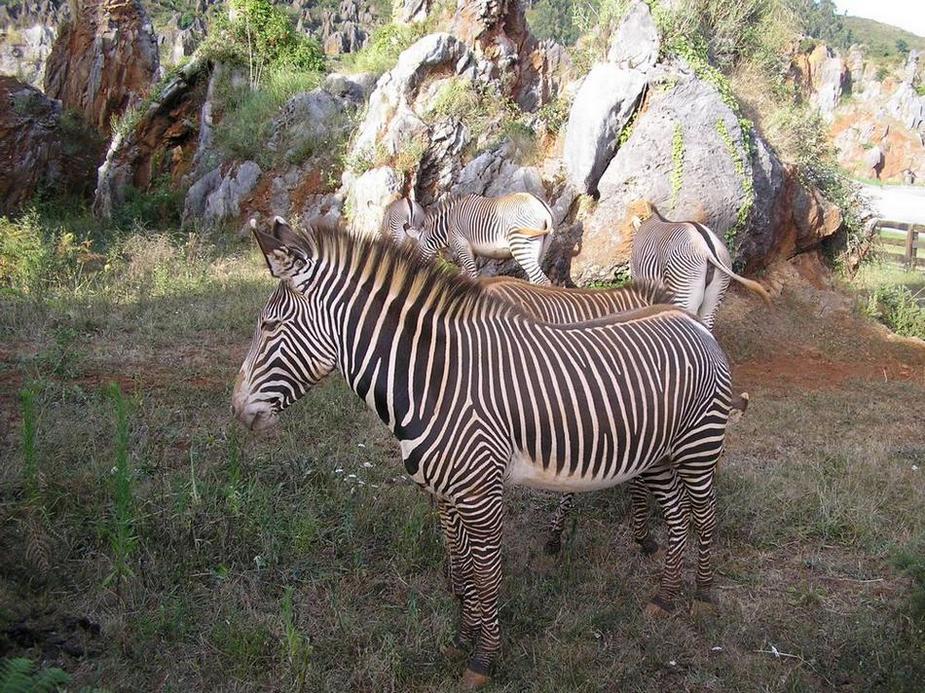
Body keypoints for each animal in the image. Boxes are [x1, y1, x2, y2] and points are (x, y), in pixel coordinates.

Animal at [235, 218, 740, 688]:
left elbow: (485, 575)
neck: (434, 382)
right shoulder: (446, 494)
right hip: (657, 454)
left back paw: (702, 595)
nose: (237, 410)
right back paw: (665, 597)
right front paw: (462, 640)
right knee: (676, 518)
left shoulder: (479, 495)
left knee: (705, 515)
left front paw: (484, 659)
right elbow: (461, 572)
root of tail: (690, 320)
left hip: (698, 445)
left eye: (270, 326)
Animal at [408, 191, 552, 282]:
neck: (449, 224)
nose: (414, 271)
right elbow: (464, 274)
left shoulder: (461, 245)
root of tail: (542, 208)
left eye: (416, 250)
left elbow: (472, 274)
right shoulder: (470, 251)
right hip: (541, 248)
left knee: (542, 280)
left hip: (521, 243)